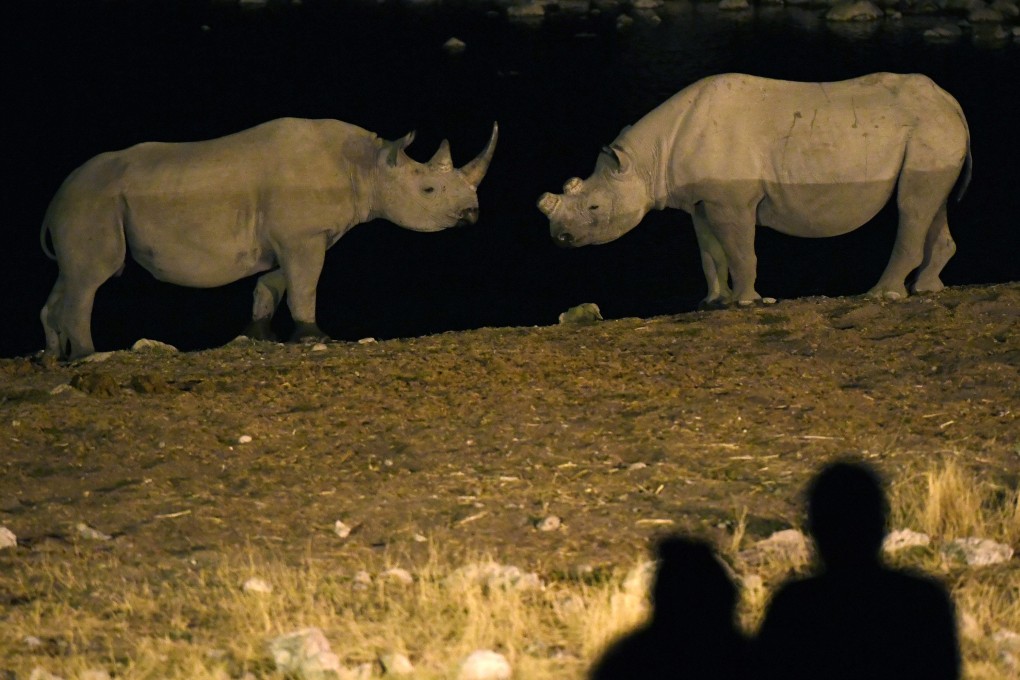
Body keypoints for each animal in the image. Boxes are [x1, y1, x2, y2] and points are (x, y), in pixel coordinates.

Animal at [40, 117, 498, 359]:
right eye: (429, 191)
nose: (472, 215)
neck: (368, 167)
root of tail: (55, 198)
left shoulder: (292, 239)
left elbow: (272, 285)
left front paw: (260, 335)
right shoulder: (303, 237)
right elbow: (305, 287)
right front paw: (316, 337)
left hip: (79, 207)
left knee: (70, 276)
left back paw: (54, 357)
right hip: (92, 203)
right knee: (91, 278)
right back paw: (88, 356)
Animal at [538, 73, 971, 307]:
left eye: (594, 207)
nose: (560, 238)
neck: (648, 158)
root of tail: (951, 101)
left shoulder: (732, 199)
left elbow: (741, 250)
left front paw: (747, 301)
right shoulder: (702, 200)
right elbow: (710, 254)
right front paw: (713, 302)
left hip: (928, 128)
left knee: (912, 205)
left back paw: (881, 295)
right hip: (933, 131)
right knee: (932, 204)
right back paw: (925, 289)